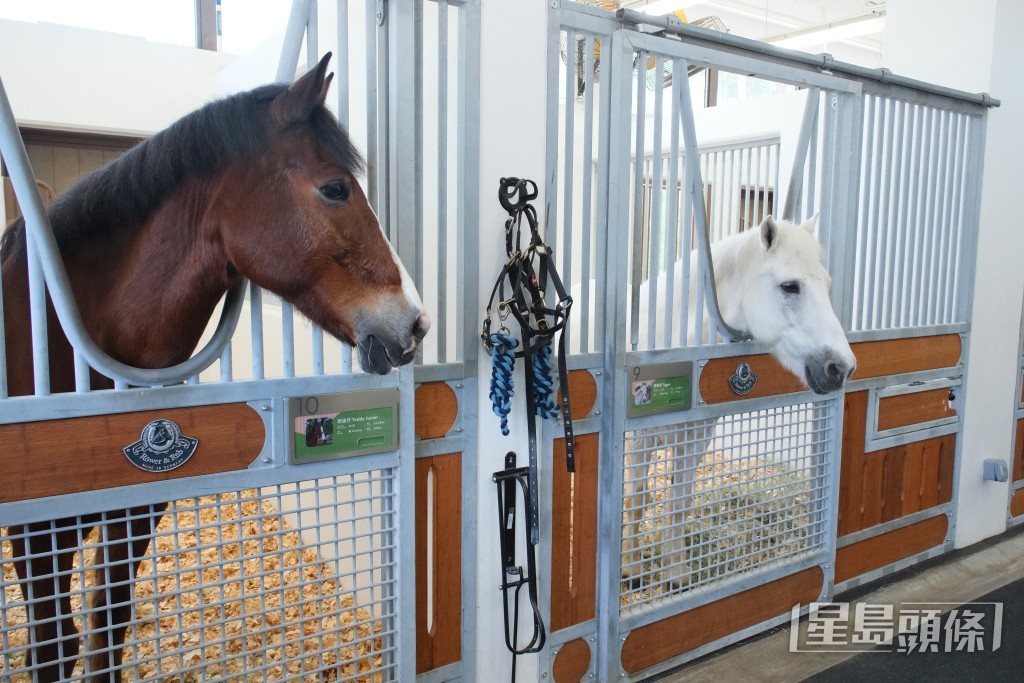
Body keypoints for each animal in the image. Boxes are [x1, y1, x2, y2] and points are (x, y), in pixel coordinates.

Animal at [1, 53, 428, 682]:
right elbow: (55, 646)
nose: (416, 323)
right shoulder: (36, 528)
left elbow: (107, 628)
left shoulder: (136, 507)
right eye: (335, 188)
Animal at [619, 215, 855, 590]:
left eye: (827, 284)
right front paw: (631, 569)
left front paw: (676, 574)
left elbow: (679, 500)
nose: (842, 368)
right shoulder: (639, 438)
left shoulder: (696, 438)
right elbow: (637, 497)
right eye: (790, 286)